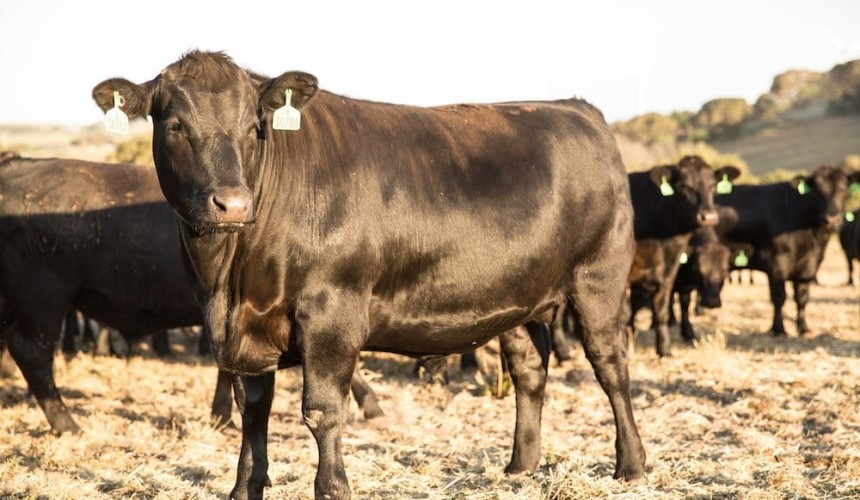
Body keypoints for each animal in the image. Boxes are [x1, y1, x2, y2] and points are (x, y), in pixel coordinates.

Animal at [0, 155, 382, 435]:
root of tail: (18, 163)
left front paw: (220, 414)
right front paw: (371, 402)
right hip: (44, 300)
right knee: (32, 355)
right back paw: (67, 424)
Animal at [93, 50, 646, 499]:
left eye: (254, 125)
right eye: (174, 126)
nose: (232, 204)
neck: (230, 280)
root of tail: (575, 108)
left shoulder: (331, 314)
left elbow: (322, 411)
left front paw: (333, 487)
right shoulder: (244, 335)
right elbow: (253, 413)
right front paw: (244, 488)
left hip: (599, 280)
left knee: (611, 366)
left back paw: (631, 465)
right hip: (519, 297)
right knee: (530, 370)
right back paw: (521, 468)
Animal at [627, 157, 740, 356]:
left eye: (713, 186)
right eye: (683, 187)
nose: (708, 217)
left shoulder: (669, 274)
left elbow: (664, 309)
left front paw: (664, 348)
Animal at [714, 166, 860, 335]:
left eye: (843, 189)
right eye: (817, 191)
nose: (831, 218)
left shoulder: (807, 269)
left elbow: (802, 298)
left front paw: (803, 327)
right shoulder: (776, 265)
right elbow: (779, 298)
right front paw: (779, 329)